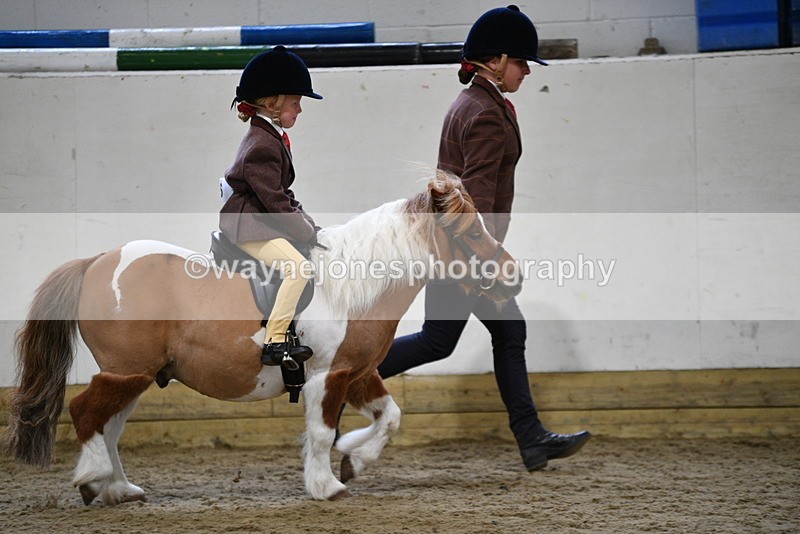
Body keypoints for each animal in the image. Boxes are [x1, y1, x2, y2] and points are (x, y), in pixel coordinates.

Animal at [3, 173, 522, 505]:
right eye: (473, 231)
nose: (512, 278)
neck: (353, 282)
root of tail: (95, 262)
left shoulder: (357, 373)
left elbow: (390, 417)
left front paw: (355, 459)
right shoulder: (326, 376)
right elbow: (321, 431)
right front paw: (327, 485)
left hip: (135, 376)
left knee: (108, 426)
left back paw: (118, 489)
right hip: (124, 372)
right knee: (84, 413)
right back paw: (94, 479)